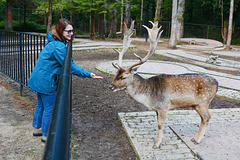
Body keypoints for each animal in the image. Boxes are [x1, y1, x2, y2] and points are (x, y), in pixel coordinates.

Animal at [109, 21, 218, 149]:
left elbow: (160, 125)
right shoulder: (157, 109)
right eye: (116, 74)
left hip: (203, 102)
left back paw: (197, 139)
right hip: (197, 105)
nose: (111, 86)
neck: (149, 96)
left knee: (207, 117)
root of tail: (217, 83)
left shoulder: (163, 107)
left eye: (124, 77)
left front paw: (156, 144)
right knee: (203, 118)